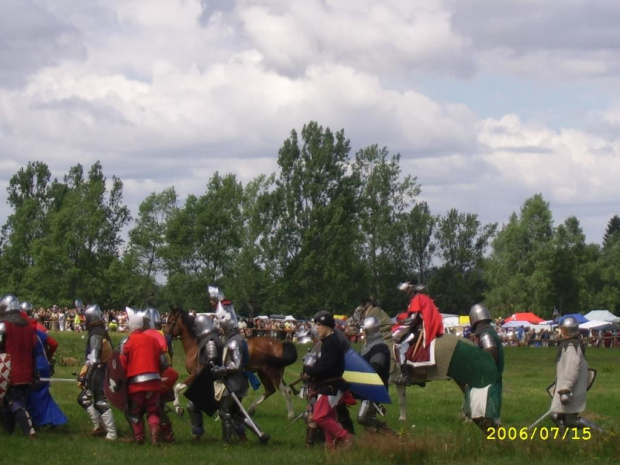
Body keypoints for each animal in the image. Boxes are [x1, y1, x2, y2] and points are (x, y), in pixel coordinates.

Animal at [163, 308, 300, 416]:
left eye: (170, 322)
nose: (164, 334)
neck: (196, 345)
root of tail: (278, 345)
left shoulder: (196, 374)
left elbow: (178, 387)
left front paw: (178, 408)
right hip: (264, 373)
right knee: (270, 390)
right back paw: (251, 409)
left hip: (273, 374)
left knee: (285, 391)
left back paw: (290, 415)